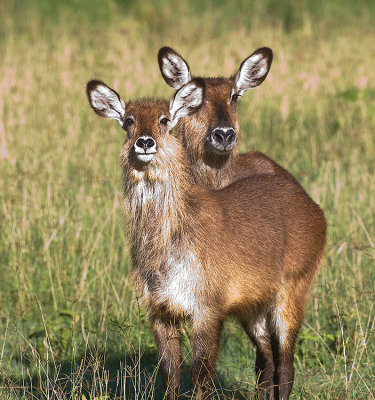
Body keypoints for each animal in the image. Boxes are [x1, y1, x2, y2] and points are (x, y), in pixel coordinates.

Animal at [87, 78, 326, 400]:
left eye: (165, 120)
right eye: (128, 121)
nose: (145, 142)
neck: (166, 248)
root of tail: (313, 207)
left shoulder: (208, 309)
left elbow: (202, 377)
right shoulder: (160, 311)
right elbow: (170, 376)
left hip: (293, 289)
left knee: (286, 365)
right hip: (252, 307)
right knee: (266, 361)